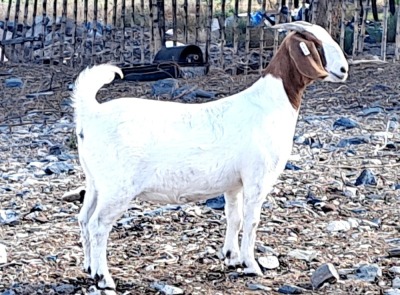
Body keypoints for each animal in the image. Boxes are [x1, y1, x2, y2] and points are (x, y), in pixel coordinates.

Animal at [72, 21, 350, 292]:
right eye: (317, 45)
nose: (343, 70)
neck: (271, 103)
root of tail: (92, 113)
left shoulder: (234, 184)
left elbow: (234, 217)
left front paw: (232, 257)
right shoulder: (257, 178)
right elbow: (252, 221)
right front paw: (251, 265)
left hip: (96, 182)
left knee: (84, 218)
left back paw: (89, 268)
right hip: (117, 188)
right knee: (98, 224)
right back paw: (103, 278)